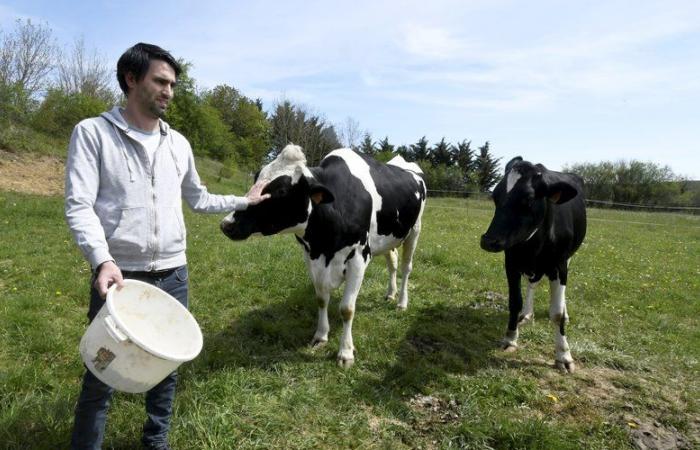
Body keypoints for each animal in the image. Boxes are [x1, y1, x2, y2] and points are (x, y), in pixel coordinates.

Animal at [220, 144, 426, 366]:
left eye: (281, 190)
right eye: (256, 178)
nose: (226, 224)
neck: (325, 244)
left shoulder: (359, 258)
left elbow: (347, 309)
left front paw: (345, 352)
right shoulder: (311, 258)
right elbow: (321, 299)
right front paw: (320, 336)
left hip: (414, 231)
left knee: (406, 268)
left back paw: (402, 302)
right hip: (389, 238)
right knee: (392, 263)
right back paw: (390, 293)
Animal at [478, 156, 588, 374]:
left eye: (528, 200)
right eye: (495, 196)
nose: (488, 241)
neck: (534, 245)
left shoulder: (560, 266)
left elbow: (557, 313)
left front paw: (563, 355)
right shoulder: (511, 262)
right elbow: (515, 302)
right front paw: (511, 338)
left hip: (568, 259)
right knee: (532, 284)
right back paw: (527, 314)